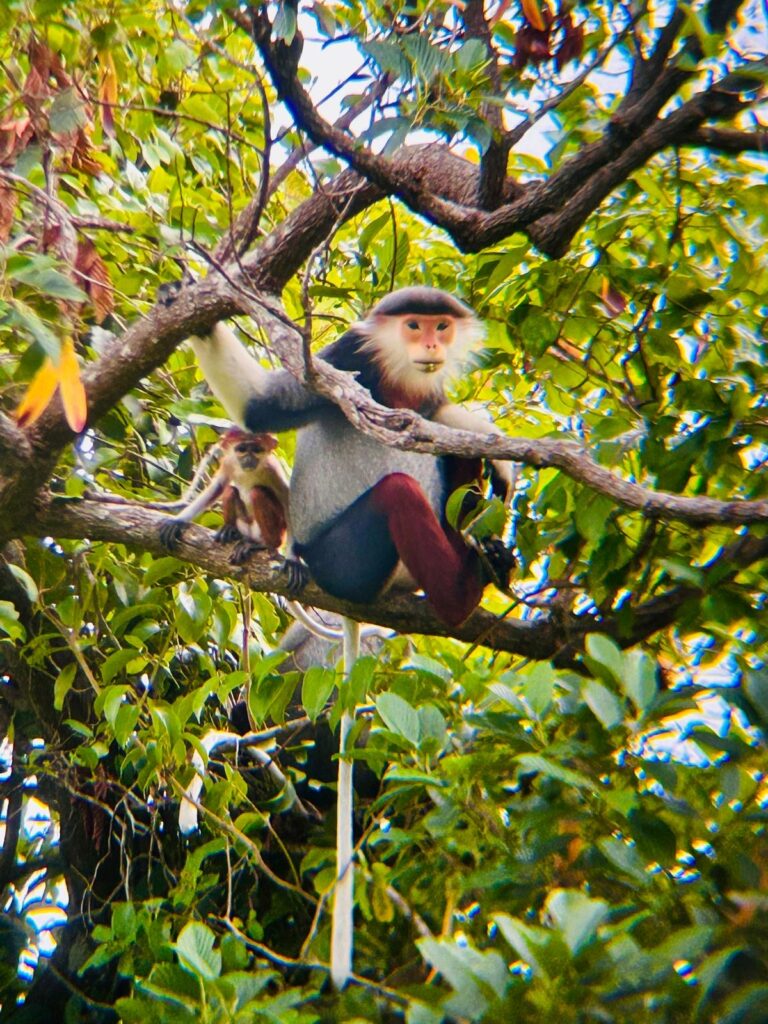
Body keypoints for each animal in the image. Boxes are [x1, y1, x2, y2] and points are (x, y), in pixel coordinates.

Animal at [183, 286, 515, 627]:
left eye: (441, 327)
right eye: (413, 326)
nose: (432, 345)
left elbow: (435, 419)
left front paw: (500, 460)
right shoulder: (347, 357)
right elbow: (260, 406)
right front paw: (194, 307)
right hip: (338, 566)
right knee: (398, 491)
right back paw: (462, 597)